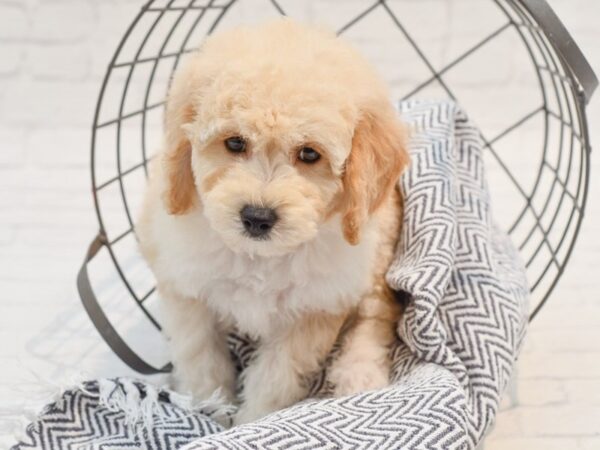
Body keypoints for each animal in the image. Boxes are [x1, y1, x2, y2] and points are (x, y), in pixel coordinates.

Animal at [135, 18, 408, 426]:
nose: (257, 217)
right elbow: (201, 359)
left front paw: (250, 422)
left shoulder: (316, 309)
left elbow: (275, 377)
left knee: (375, 315)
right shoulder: (186, 291)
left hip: (374, 263)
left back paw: (358, 374)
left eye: (309, 154)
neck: (260, 258)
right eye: (235, 143)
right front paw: (210, 410)